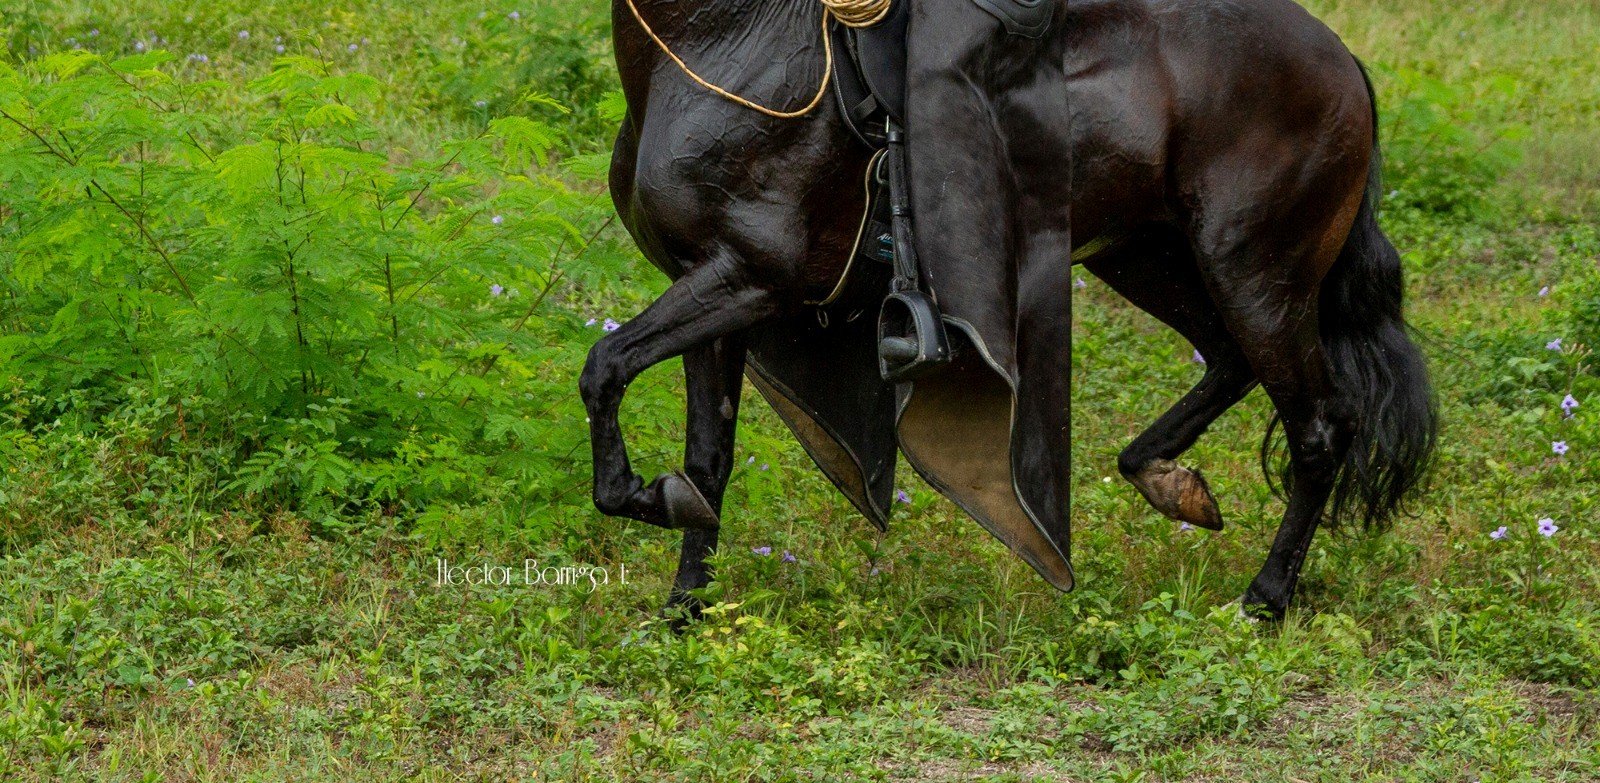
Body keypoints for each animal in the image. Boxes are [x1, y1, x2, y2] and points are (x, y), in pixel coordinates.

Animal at [581, 0, 1437, 621]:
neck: (723, 41)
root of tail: (1340, 61)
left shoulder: (750, 276)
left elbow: (603, 368)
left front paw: (646, 501)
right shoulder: (713, 283)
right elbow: (706, 457)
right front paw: (683, 608)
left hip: (1254, 270)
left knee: (1317, 428)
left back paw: (1264, 599)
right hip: (1147, 255)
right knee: (1227, 362)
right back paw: (1168, 481)